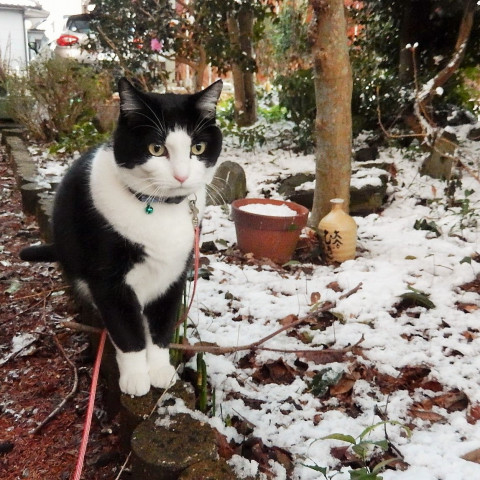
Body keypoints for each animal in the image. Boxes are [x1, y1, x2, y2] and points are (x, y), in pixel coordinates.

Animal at [20, 78, 223, 396]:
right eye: (156, 148)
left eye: (198, 147)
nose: (181, 176)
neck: (159, 209)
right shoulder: (109, 281)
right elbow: (127, 331)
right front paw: (136, 377)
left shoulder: (175, 274)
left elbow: (162, 326)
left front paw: (160, 370)